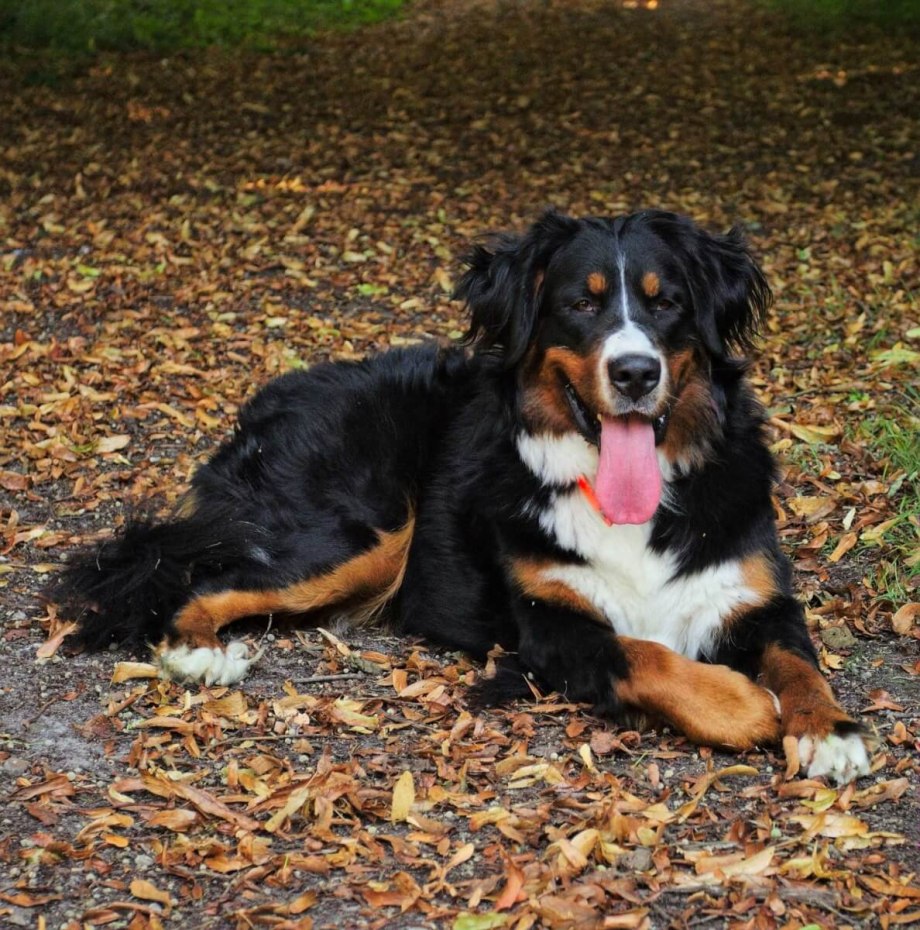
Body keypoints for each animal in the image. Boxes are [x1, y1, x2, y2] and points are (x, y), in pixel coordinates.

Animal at [54, 210, 872, 784]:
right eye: (581, 306)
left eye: (665, 302)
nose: (637, 372)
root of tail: (269, 400)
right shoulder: (550, 623)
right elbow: (645, 654)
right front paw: (740, 702)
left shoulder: (757, 594)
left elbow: (798, 661)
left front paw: (828, 732)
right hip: (364, 533)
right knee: (202, 579)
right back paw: (199, 655)